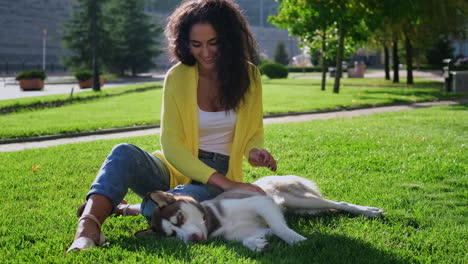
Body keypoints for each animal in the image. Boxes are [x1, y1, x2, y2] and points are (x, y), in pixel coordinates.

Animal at [135, 175, 384, 252]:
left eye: (179, 218)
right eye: (171, 236)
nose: (193, 239)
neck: (216, 223)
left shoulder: (261, 202)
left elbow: (280, 228)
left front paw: (299, 241)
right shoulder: (252, 229)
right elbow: (255, 236)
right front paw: (257, 245)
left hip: (297, 198)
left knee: (339, 203)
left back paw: (369, 211)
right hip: (304, 208)